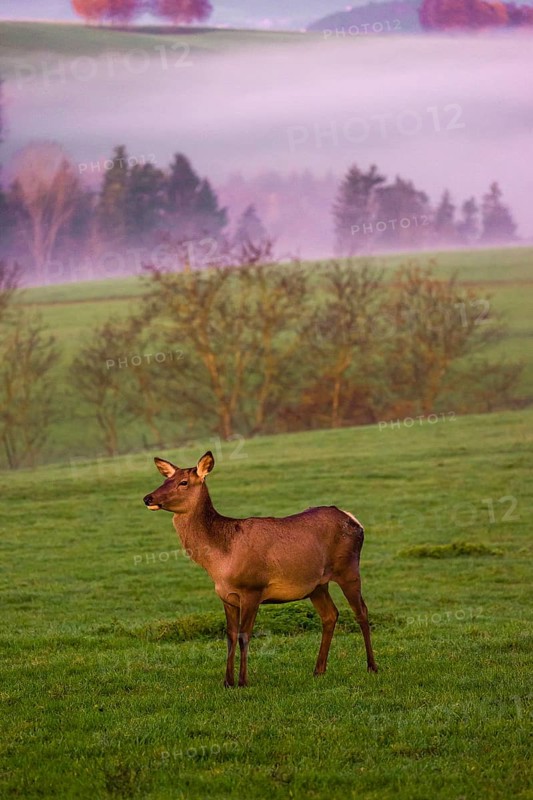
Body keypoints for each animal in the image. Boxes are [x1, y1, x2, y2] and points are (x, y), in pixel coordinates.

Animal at [143, 451, 378, 687]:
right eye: (165, 480)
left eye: (183, 482)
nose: (148, 498)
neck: (220, 560)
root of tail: (355, 520)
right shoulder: (226, 596)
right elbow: (230, 636)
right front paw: (227, 681)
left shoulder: (252, 589)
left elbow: (244, 635)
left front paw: (243, 681)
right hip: (317, 585)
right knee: (330, 615)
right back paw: (318, 670)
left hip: (348, 569)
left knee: (361, 612)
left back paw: (372, 667)